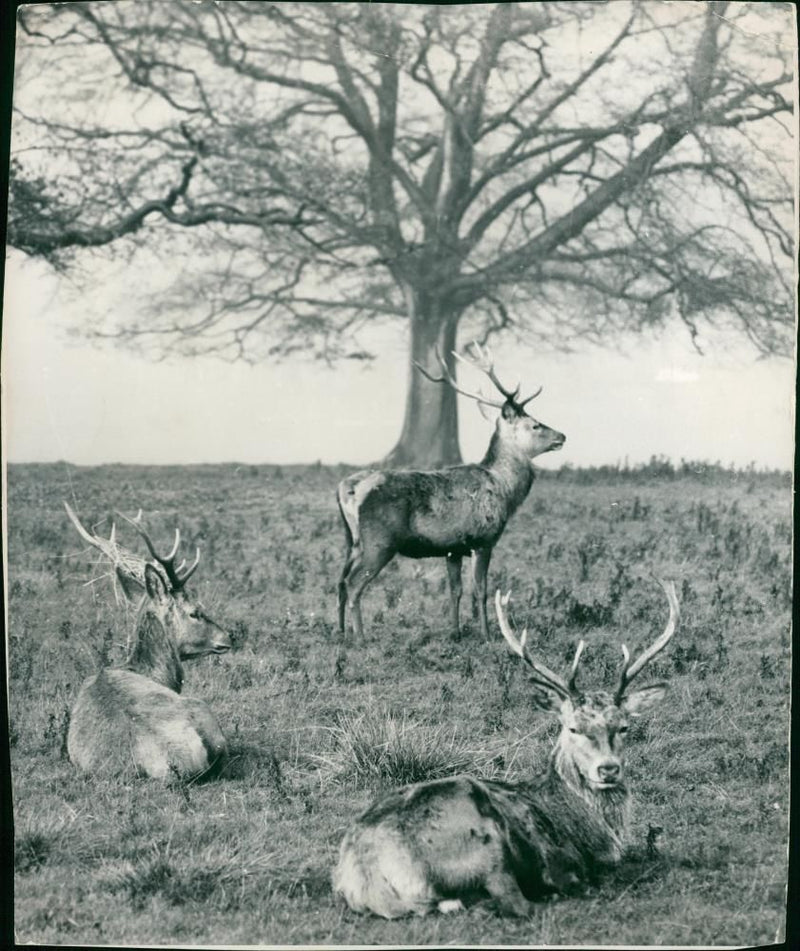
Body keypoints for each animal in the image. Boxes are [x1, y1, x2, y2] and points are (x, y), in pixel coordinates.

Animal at [328, 576, 680, 920]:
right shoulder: (562, 861)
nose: (608, 769)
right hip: (481, 843)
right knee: (514, 904)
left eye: (623, 727)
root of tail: (363, 877)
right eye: (573, 728)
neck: (594, 832)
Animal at [338, 342, 568, 640]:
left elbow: (455, 590)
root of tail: (350, 488)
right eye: (535, 424)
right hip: (380, 541)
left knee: (339, 582)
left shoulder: (453, 548)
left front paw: (456, 632)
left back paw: (340, 631)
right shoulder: (483, 540)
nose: (562, 436)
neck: (505, 491)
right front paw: (487, 635)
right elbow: (480, 591)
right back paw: (360, 637)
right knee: (354, 583)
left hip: (352, 540)